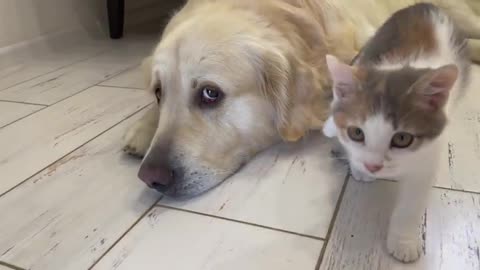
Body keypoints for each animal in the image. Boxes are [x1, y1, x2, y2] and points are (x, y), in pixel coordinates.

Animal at [320, 3, 470, 262]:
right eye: (357, 133)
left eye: (402, 139)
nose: (373, 166)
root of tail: (427, 4)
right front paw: (358, 166)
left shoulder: (429, 155)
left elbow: (412, 201)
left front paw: (404, 242)